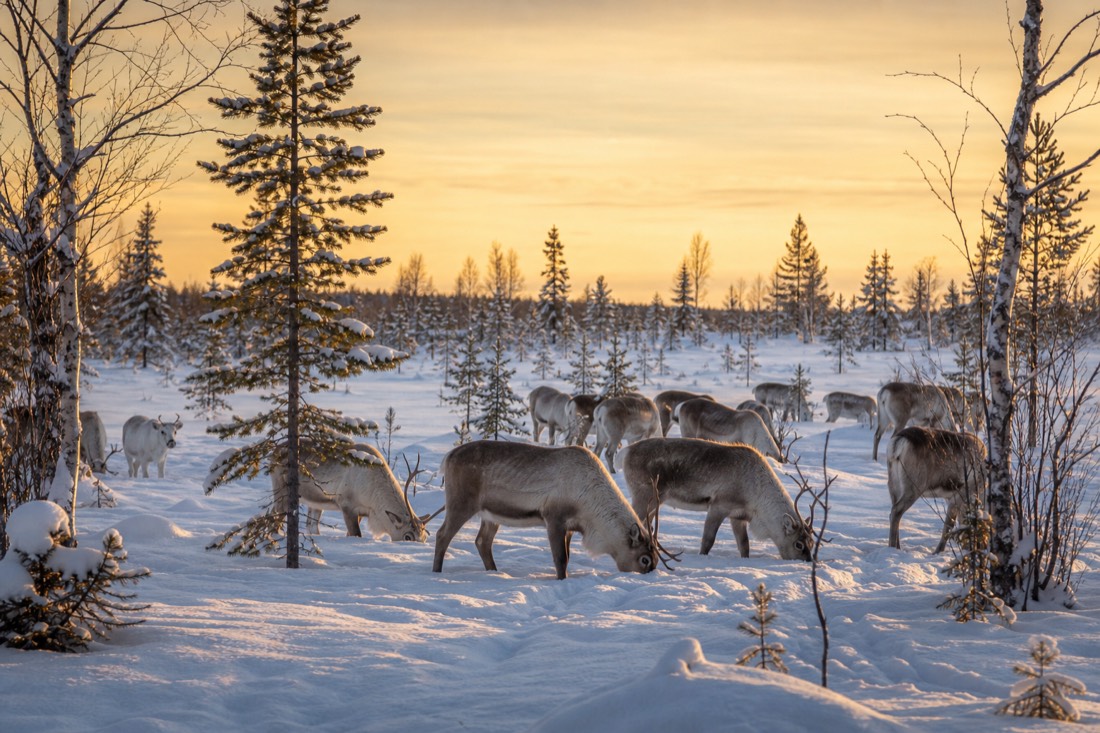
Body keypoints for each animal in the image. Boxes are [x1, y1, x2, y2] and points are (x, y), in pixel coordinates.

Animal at [432, 440, 676, 579]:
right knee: (442, 535)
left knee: (482, 541)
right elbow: (560, 559)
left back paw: (494, 571)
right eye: (645, 560)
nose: (649, 577)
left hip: (490, 514)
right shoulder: (554, 518)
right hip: (461, 502)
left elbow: (567, 556)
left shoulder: (570, 527)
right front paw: (561, 579)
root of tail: (447, 457)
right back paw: (437, 572)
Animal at [621, 438, 812, 560]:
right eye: (799, 544)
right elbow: (708, 540)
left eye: (811, 541)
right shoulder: (718, 506)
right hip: (645, 496)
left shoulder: (738, 516)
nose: (808, 561)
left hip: (654, 502)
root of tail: (625, 452)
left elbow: (744, 545)